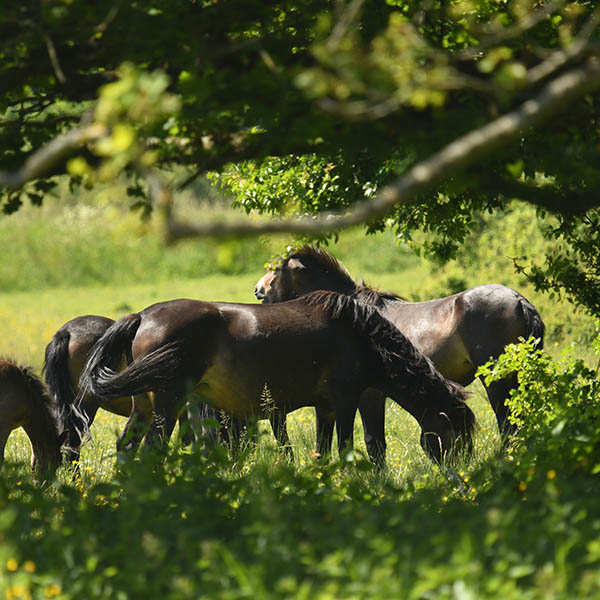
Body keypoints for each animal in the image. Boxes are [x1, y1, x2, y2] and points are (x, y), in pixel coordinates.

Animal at [77, 290, 476, 464]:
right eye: (457, 434)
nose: (463, 474)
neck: (360, 336)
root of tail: (143, 316)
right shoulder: (346, 401)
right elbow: (345, 447)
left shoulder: (325, 408)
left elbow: (322, 450)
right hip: (167, 405)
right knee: (151, 450)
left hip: (144, 407)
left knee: (127, 448)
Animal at [253, 246, 544, 462]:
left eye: (276, 270)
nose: (257, 291)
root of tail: (520, 301)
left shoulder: (369, 395)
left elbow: (374, 443)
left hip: (497, 381)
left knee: (508, 425)